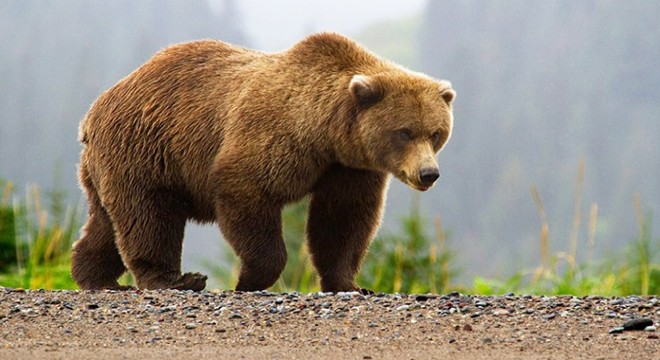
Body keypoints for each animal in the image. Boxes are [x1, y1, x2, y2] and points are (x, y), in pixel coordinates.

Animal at [71, 33, 454, 292]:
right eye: (404, 132)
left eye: (436, 133)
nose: (429, 173)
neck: (325, 133)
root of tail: (94, 110)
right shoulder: (273, 135)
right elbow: (247, 190)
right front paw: (249, 278)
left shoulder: (349, 167)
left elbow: (343, 219)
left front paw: (349, 283)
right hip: (146, 148)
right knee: (149, 216)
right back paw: (176, 280)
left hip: (112, 164)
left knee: (107, 222)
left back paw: (94, 276)